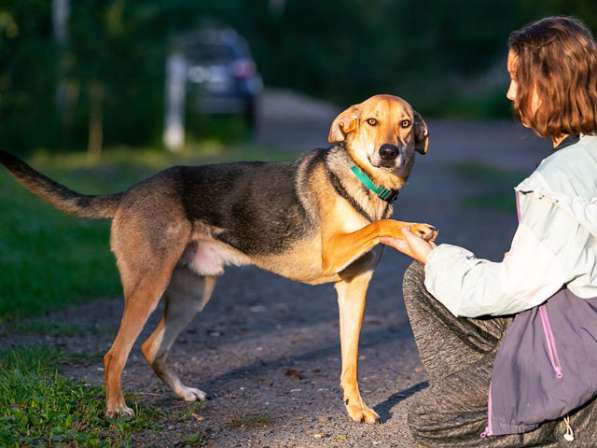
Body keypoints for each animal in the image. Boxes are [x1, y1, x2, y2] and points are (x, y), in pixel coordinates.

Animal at [1, 93, 438, 424]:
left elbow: (350, 362)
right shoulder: (332, 252)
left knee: (151, 348)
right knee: (115, 354)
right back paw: (116, 410)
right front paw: (414, 229)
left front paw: (356, 408)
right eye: (371, 121)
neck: (366, 185)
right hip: (148, 286)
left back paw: (183, 393)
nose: (388, 152)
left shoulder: (353, 289)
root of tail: (129, 193)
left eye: (404, 124)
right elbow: (383, 226)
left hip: (193, 294)